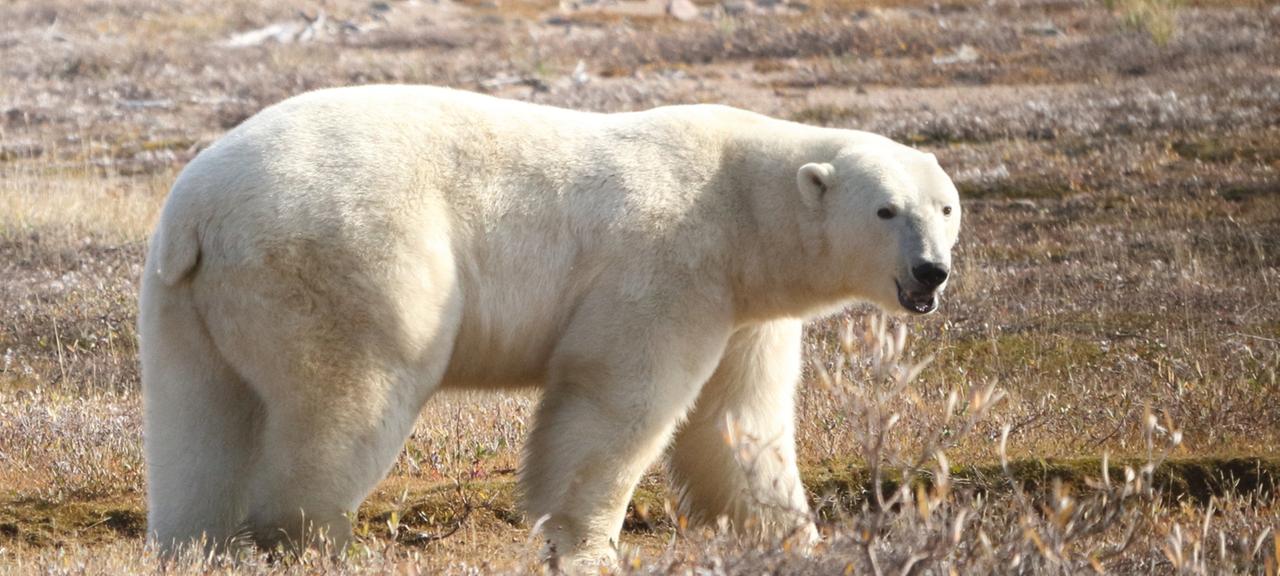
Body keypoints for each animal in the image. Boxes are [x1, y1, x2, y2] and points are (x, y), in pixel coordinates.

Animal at [140, 84, 962, 563]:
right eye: (886, 209)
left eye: (946, 207)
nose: (931, 272)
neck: (740, 206)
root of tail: (199, 212)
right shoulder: (669, 264)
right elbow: (618, 400)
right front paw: (584, 545)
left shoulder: (746, 309)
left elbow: (738, 422)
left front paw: (792, 536)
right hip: (346, 259)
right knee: (349, 397)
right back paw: (318, 540)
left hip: (186, 302)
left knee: (199, 422)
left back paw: (196, 544)